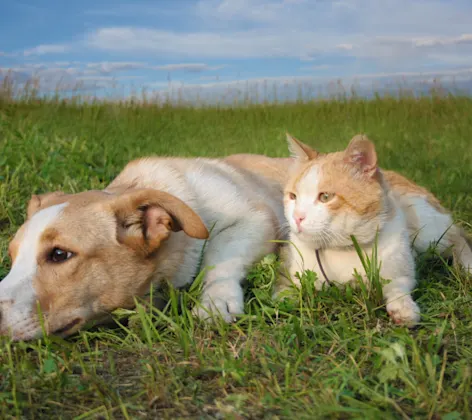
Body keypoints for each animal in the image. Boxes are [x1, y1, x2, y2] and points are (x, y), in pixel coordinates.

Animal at [276, 135, 472, 324]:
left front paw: (403, 307)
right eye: (292, 196)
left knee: (457, 238)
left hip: (426, 230)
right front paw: (284, 298)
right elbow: (287, 288)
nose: (297, 217)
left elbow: (397, 286)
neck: (341, 249)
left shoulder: (399, 270)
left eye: (325, 197)